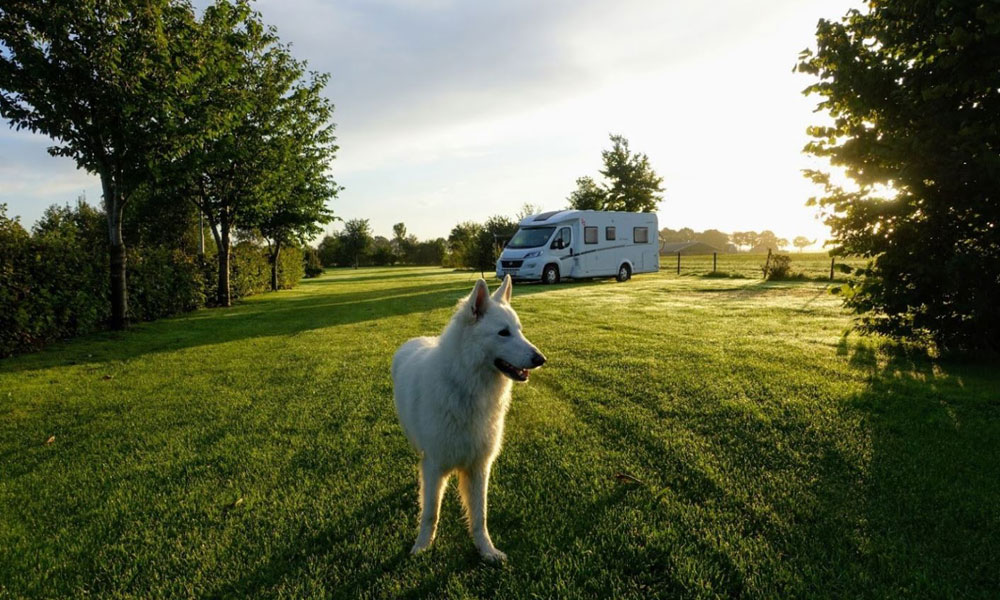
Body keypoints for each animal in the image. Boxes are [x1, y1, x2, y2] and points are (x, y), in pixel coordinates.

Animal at [390, 274, 548, 560]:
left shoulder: (479, 466)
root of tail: (415, 340)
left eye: (519, 330)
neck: (466, 387)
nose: (541, 359)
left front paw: (486, 550)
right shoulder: (435, 464)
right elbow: (430, 512)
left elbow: (479, 515)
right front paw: (422, 546)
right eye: (504, 333)